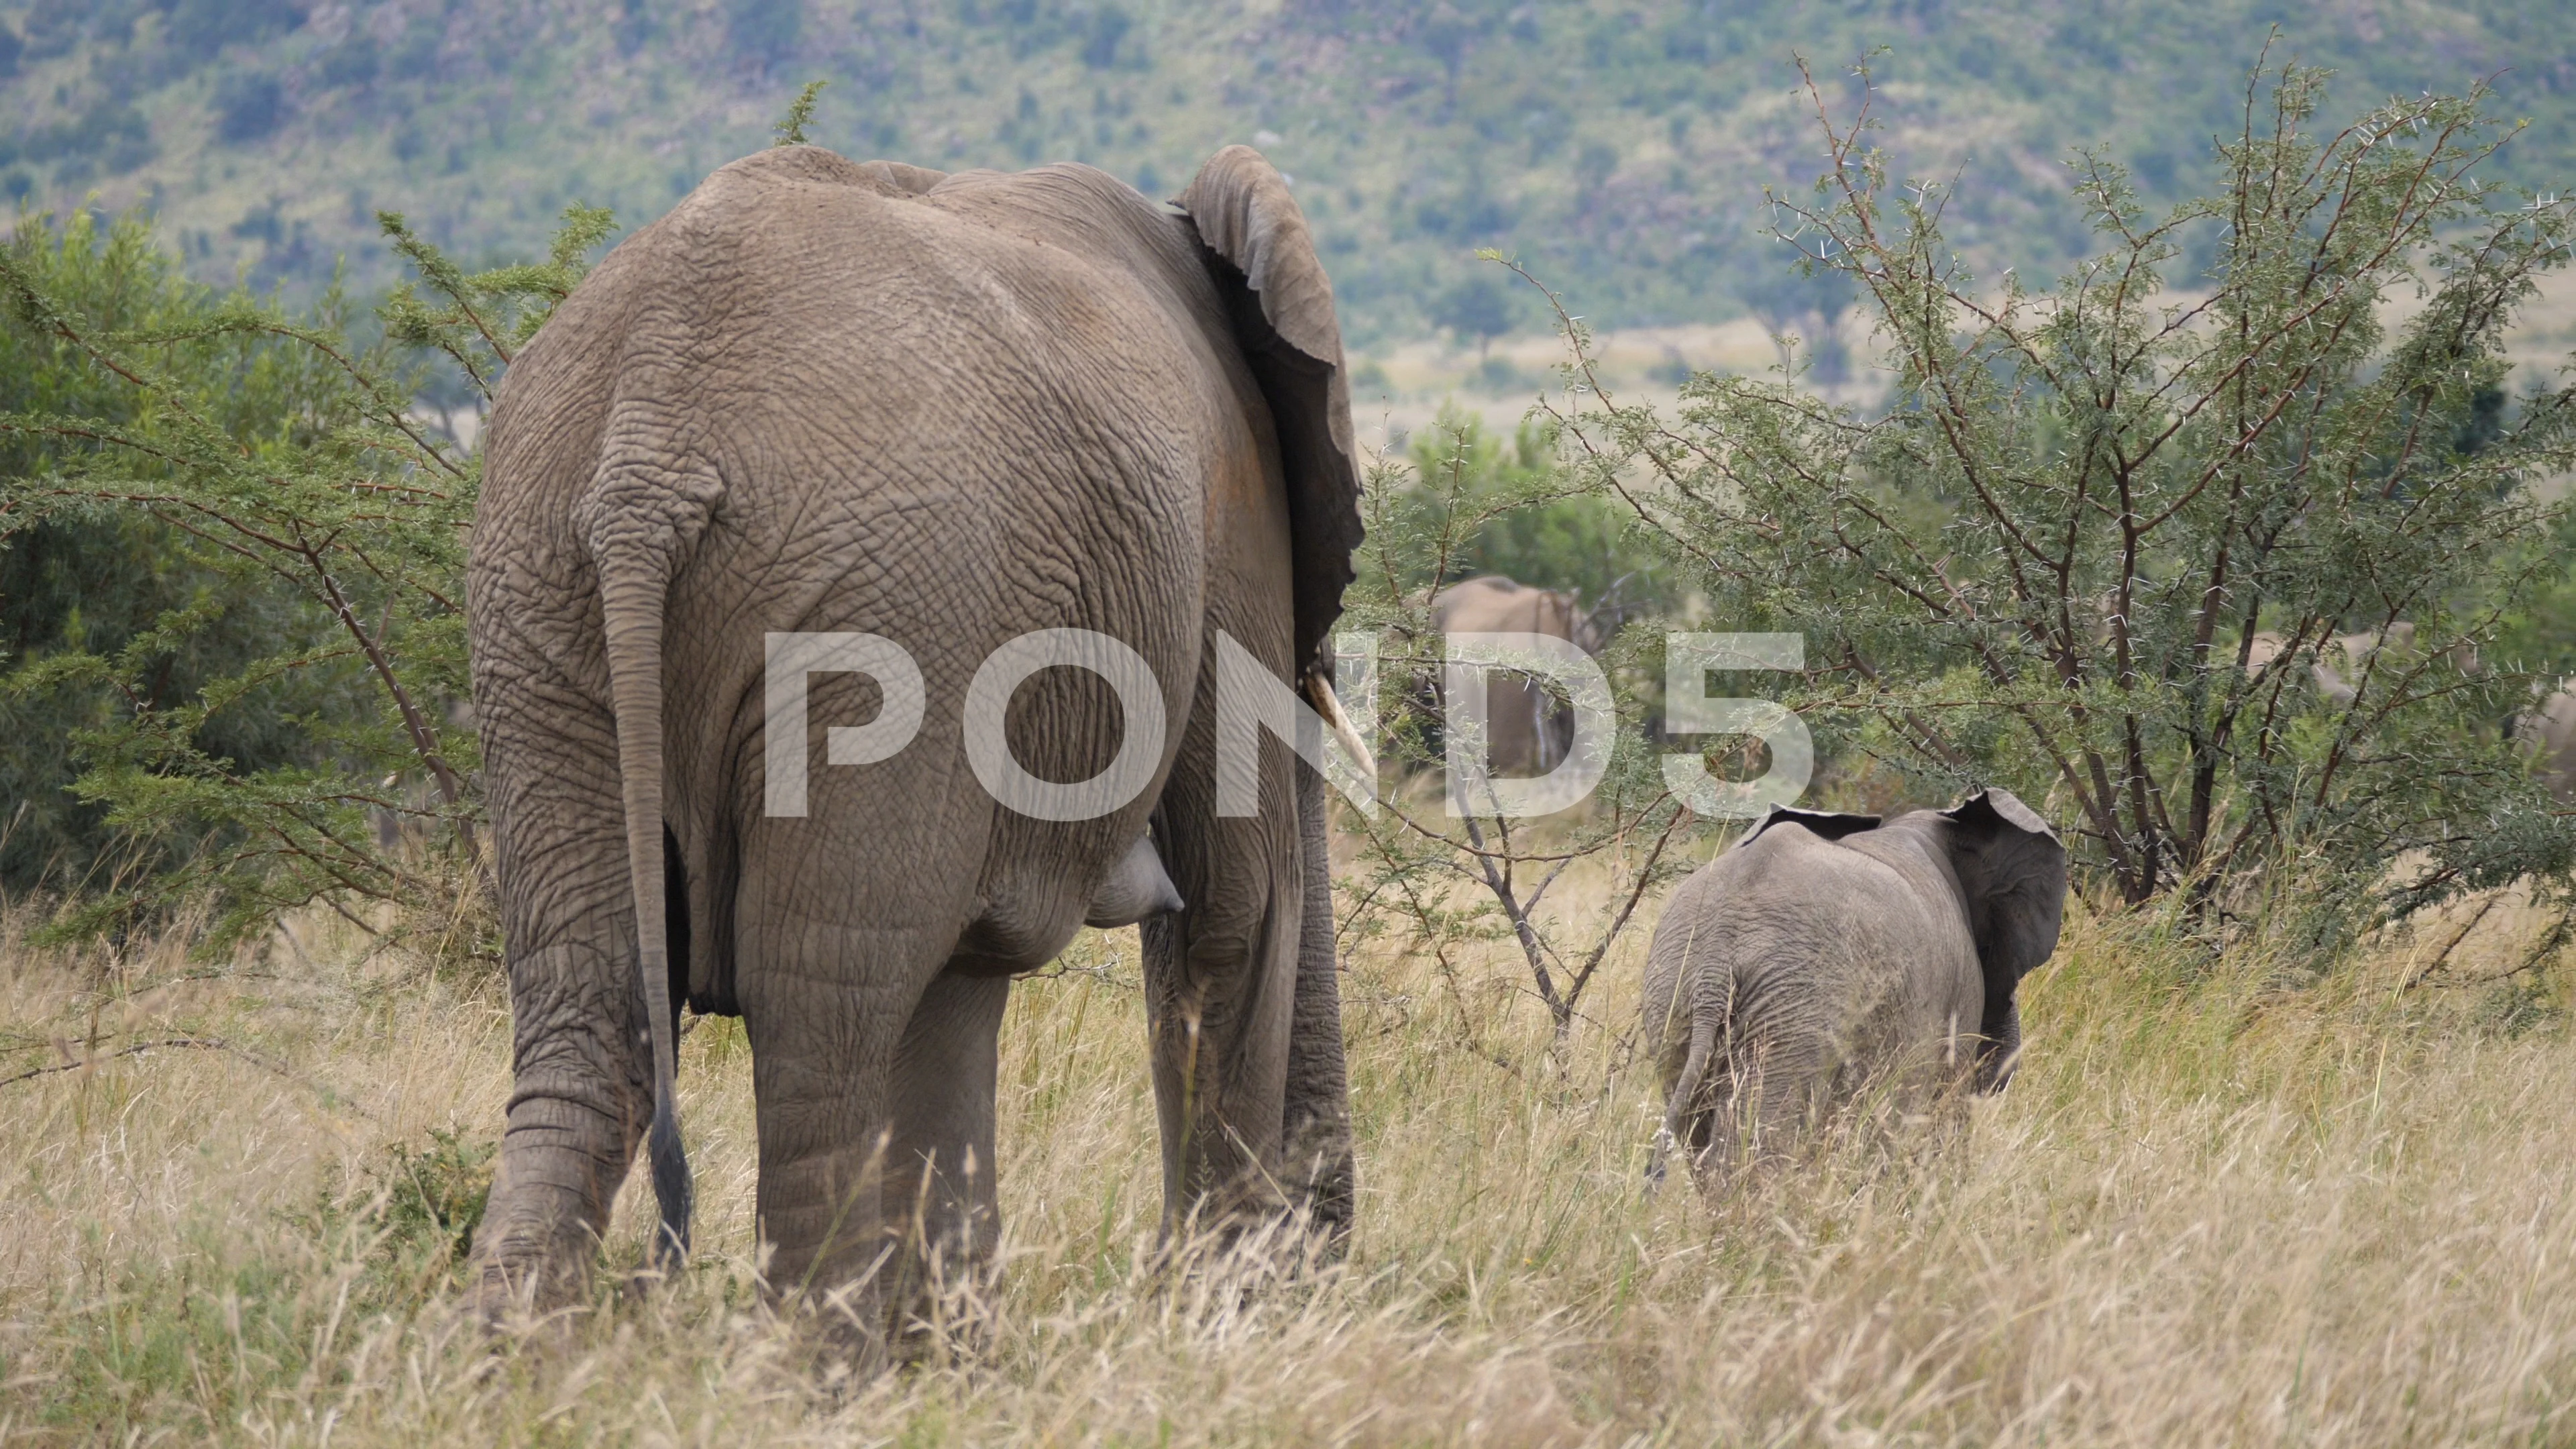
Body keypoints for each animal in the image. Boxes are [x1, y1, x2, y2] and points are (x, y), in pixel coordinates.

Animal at [474, 141, 1381, 1330]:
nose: (1320, 1265)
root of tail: (647, 458)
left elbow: (958, 988)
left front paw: (951, 1353)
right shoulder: (1231, 518)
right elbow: (1241, 909)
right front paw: (1213, 1330)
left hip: (538, 589)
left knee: (586, 1024)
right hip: (882, 619)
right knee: (817, 1030)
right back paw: (803, 1366)